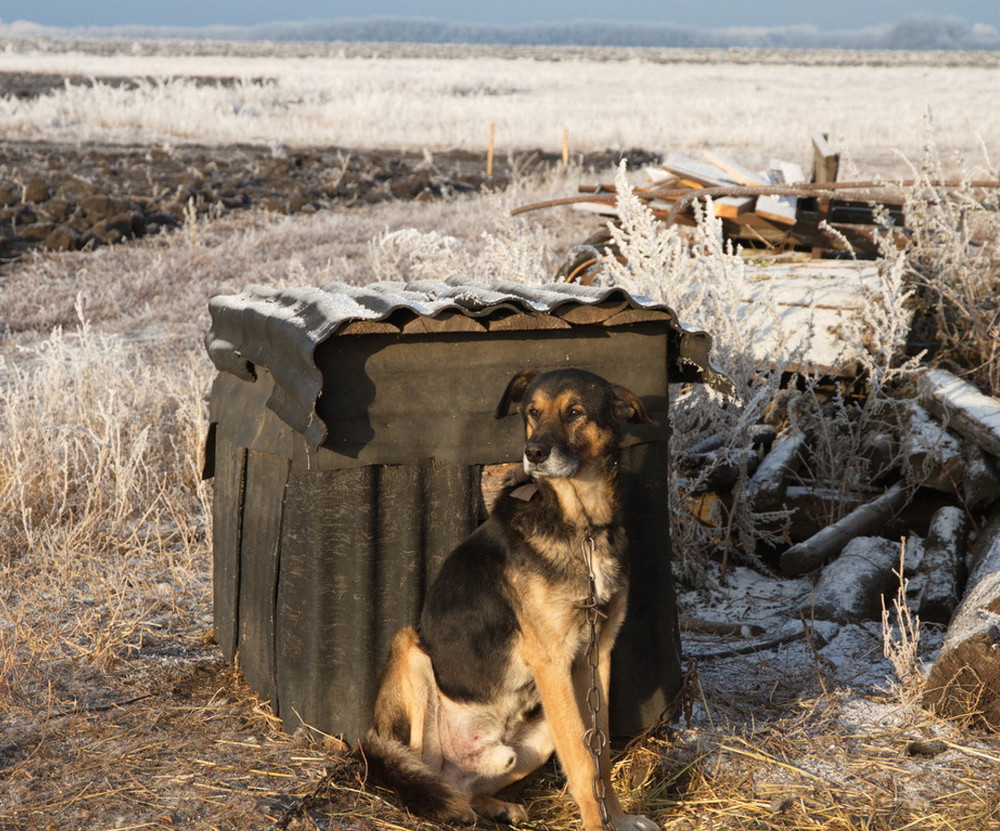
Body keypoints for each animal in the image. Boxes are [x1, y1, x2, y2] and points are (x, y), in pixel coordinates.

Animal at [364, 370, 660, 831]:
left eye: (575, 412)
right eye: (532, 412)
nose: (533, 453)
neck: (581, 527)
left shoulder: (598, 655)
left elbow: (600, 755)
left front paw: (618, 818)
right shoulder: (551, 662)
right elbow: (582, 760)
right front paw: (599, 824)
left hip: (535, 739)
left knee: (467, 785)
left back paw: (493, 805)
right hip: (410, 649)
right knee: (425, 769)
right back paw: (450, 807)